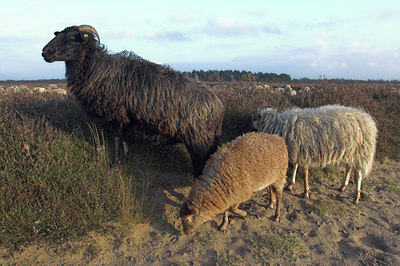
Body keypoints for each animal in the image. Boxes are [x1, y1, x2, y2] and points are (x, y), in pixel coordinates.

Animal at [43, 25, 225, 179]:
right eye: (59, 34)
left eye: (72, 36)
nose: (45, 51)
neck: (98, 68)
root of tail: (218, 105)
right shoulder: (124, 116)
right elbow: (123, 137)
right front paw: (126, 158)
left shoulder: (115, 114)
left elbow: (115, 138)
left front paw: (114, 163)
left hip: (199, 142)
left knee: (200, 168)